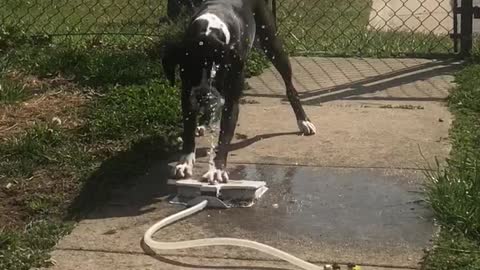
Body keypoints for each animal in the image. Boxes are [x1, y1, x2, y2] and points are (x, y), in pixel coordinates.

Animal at [163, 0, 316, 184]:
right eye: (187, 74)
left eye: (216, 75)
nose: (202, 96)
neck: (210, 30)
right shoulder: (187, 96)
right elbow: (188, 131)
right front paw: (185, 162)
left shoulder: (231, 100)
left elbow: (224, 136)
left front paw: (217, 169)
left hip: (273, 45)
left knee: (290, 88)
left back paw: (303, 120)